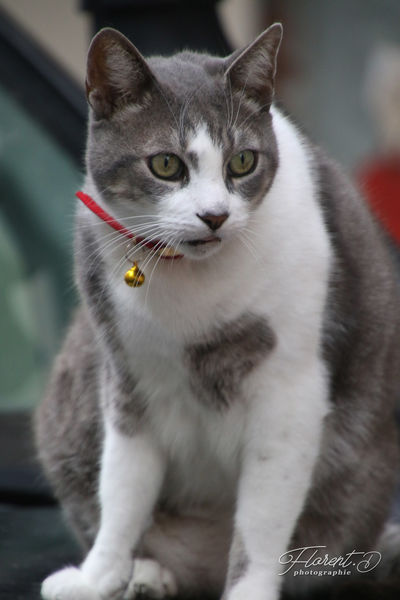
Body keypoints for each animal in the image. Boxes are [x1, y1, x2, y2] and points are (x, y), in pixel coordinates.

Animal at [34, 22, 400, 600]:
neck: (188, 283)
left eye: (242, 162)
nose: (215, 215)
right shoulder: (128, 383)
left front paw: (248, 591)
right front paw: (98, 577)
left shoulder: (289, 397)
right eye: (165, 164)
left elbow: (260, 522)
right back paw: (147, 577)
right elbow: (122, 490)